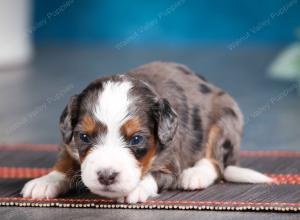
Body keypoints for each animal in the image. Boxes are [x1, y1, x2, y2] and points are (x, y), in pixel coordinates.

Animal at [21, 61, 272, 203]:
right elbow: (64, 161)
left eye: (136, 139)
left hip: (226, 120)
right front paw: (46, 181)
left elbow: (152, 176)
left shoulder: (171, 163)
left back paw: (194, 175)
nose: (106, 176)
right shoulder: (68, 142)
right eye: (84, 137)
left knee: (216, 162)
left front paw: (137, 187)